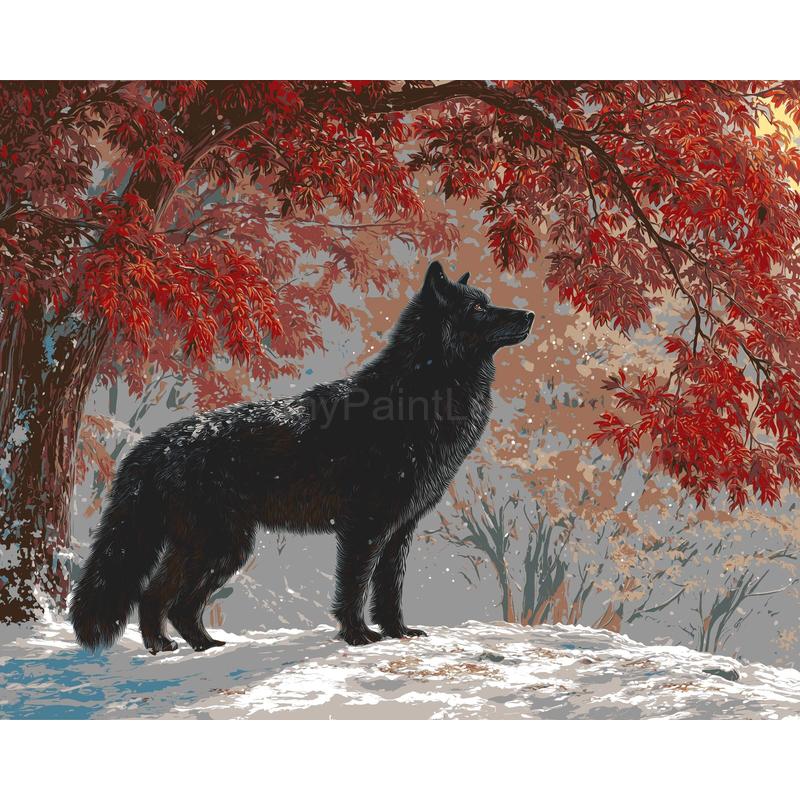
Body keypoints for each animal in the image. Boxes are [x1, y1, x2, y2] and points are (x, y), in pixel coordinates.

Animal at [70, 261, 534, 653]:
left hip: (220, 548)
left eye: (488, 300)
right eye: (478, 307)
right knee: (159, 595)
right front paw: (358, 636)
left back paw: (196, 646)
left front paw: (398, 632)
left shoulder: (399, 531)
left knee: (169, 600)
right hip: (218, 545)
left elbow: (389, 591)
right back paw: (168, 647)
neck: (417, 396)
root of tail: (152, 444)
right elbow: (354, 587)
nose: (529, 315)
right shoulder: (365, 528)